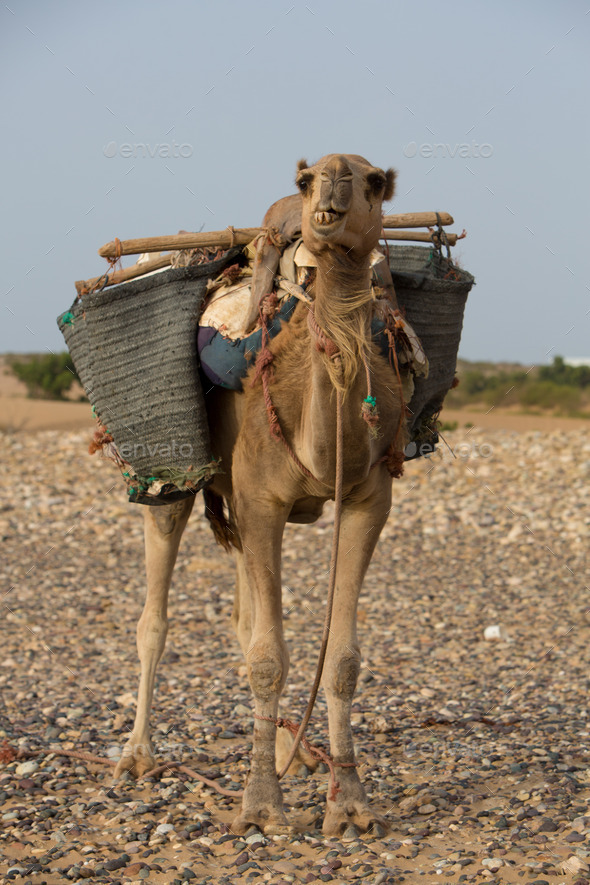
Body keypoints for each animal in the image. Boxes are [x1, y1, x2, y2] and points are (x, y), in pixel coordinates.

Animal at [115, 154, 412, 836]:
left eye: (372, 182)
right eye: (305, 181)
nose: (332, 180)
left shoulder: (368, 501)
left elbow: (341, 658)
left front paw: (350, 806)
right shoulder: (262, 501)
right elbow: (267, 657)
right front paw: (258, 809)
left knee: (243, 617)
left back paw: (292, 751)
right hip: (178, 481)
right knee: (155, 617)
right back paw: (138, 755)